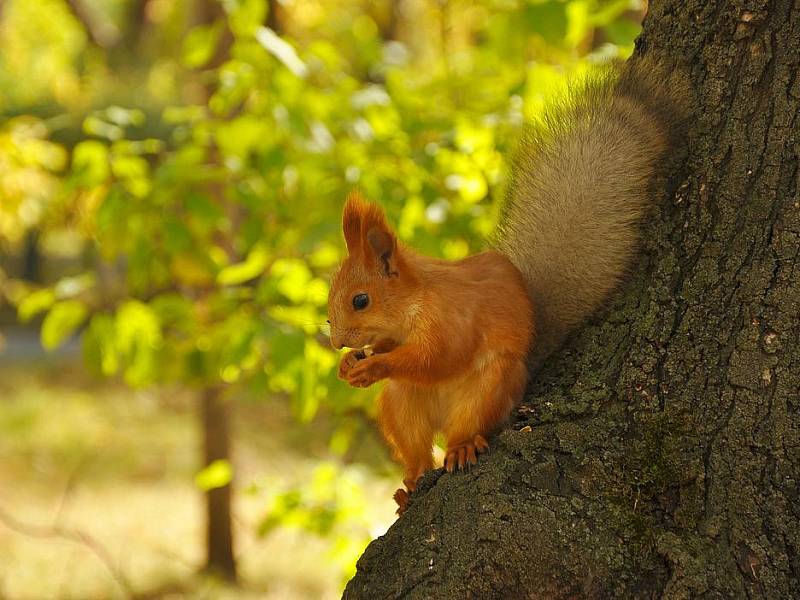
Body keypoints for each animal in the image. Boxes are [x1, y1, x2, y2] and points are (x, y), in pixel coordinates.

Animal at [328, 56, 692, 512]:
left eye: (361, 300)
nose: (336, 340)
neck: (413, 302)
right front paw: (351, 364)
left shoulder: (452, 317)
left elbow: (436, 357)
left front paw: (375, 364)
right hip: (401, 404)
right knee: (416, 451)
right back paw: (409, 484)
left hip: (488, 388)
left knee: (464, 428)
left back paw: (462, 446)